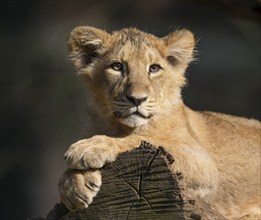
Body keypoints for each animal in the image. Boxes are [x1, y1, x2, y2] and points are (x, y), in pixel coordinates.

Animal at [58, 25, 258, 218]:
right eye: (116, 66)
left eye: (154, 68)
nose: (137, 99)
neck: (117, 126)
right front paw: (73, 185)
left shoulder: (202, 162)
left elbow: (144, 139)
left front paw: (89, 148)